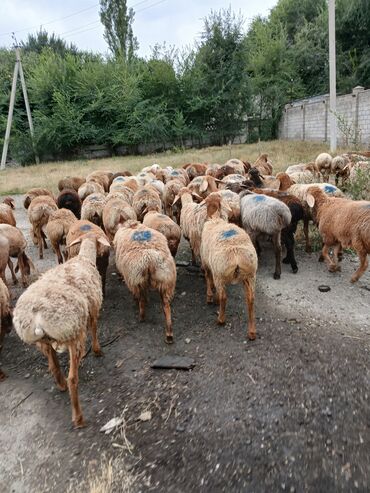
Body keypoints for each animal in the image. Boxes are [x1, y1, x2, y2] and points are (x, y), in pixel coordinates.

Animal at [13, 234, 109, 426]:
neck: (84, 258)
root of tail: (37, 319)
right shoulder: (94, 308)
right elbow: (95, 329)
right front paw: (97, 350)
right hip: (72, 333)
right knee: (73, 379)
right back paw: (78, 417)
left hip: (43, 341)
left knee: (53, 366)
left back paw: (61, 384)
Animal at [199, 192, 258, 338]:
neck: (214, 218)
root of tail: (236, 256)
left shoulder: (206, 263)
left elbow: (208, 278)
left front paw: (210, 296)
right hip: (250, 275)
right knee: (251, 300)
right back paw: (252, 332)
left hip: (220, 274)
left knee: (223, 297)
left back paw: (220, 319)